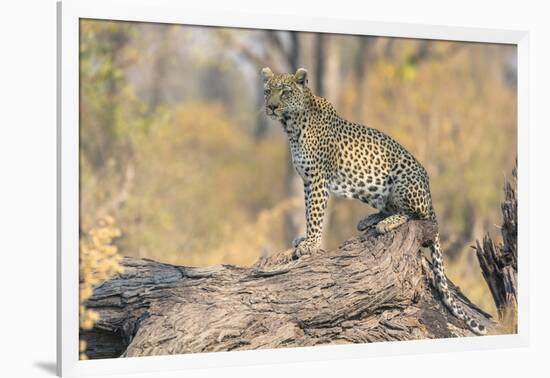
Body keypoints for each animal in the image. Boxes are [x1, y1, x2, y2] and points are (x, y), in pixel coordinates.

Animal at [262, 66, 488, 336]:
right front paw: (305, 239)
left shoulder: (317, 178)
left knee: (414, 214)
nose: (271, 107)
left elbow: (314, 214)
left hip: (403, 180)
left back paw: (386, 223)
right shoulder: (307, 180)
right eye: (267, 91)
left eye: (285, 92)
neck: (292, 125)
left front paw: (310, 244)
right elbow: (308, 210)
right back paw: (370, 219)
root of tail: (430, 195)